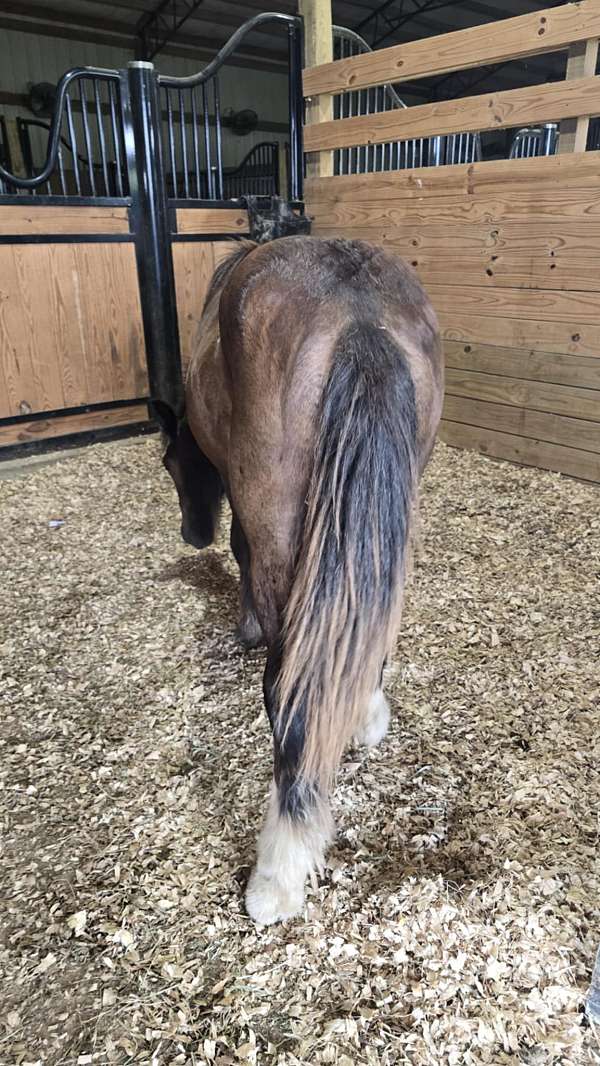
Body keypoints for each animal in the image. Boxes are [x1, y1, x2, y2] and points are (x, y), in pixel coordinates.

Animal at [159, 228, 444, 924]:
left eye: (172, 462)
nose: (191, 534)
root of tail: (359, 316)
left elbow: (241, 553)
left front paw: (244, 628)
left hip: (280, 522)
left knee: (289, 696)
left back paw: (276, 881)